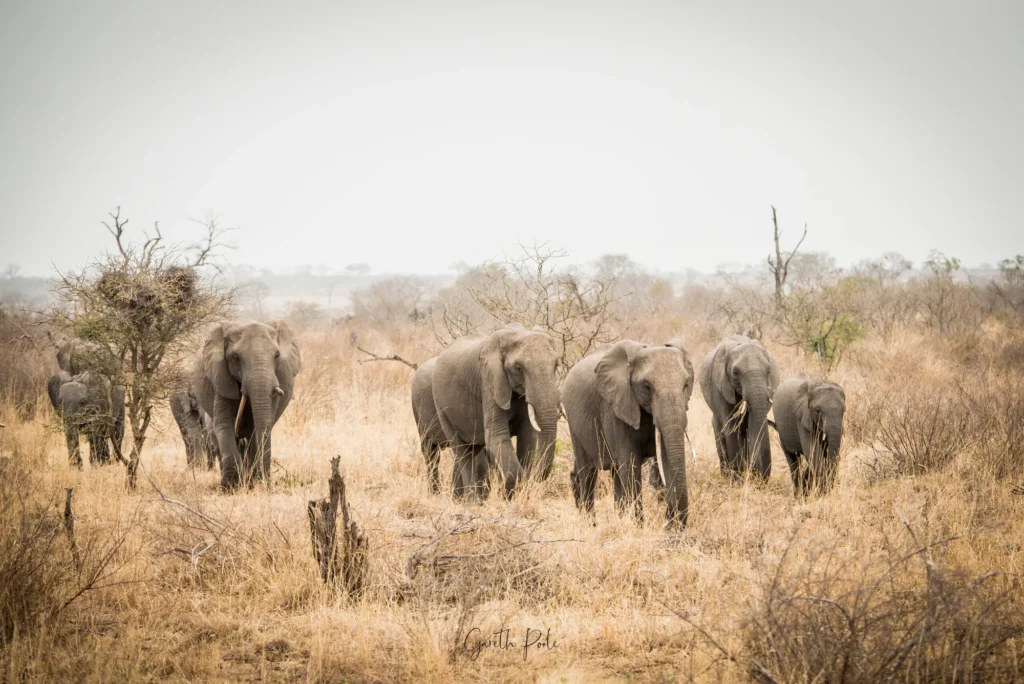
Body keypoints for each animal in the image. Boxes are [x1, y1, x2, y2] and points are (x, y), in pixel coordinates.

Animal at [188, 320, 301, 489]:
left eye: (277, 355)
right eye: (235, 357)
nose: (267, 482)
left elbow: (260, 426)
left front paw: (255, 484)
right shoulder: (221, 378)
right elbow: (224, 424)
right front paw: (230, 487)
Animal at [431, 323, 561, 501]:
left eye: (556, 365)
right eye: (519, 368)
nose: (538, 477)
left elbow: (528, 435)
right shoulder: (489, 381)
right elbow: (496, 436)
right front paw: (510, 496)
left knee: (474, 449)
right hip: (440, 405)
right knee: (462, 452)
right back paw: (472, 502)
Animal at [563, 339, 695, 526]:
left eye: (685, 385)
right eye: (646, 386)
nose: (669, 520)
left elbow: (667, 461)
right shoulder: (617, 408)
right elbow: (631, 466)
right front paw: (639, 527)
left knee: (615, 474)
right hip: (574, 422)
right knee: (588, 472)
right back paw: (591, 525)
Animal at [699, 334, 780, 482]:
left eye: (768, 371)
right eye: (735, 373)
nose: (761, 479)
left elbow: (753, 426)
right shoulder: (720, 387)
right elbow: (730, 426)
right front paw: (737, 481)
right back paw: (726, 475)